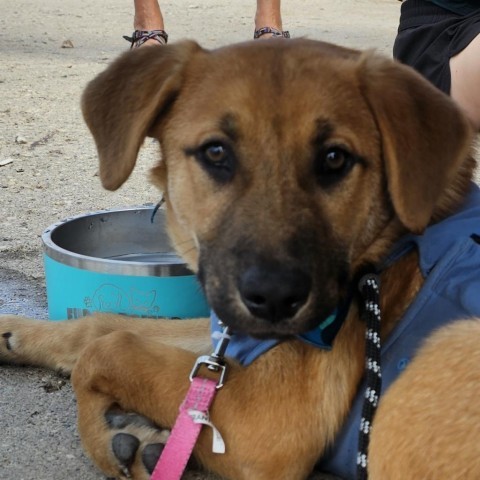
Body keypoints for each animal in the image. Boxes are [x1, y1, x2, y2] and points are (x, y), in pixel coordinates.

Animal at [0, 39, 480, 478]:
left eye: (334, 158)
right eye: (216, 153)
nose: (275, 298)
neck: (384, 252)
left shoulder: (265, 424)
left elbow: (109, 348)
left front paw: (111, 430)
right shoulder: (230, 337)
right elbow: (104, 327)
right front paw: (19, 337)